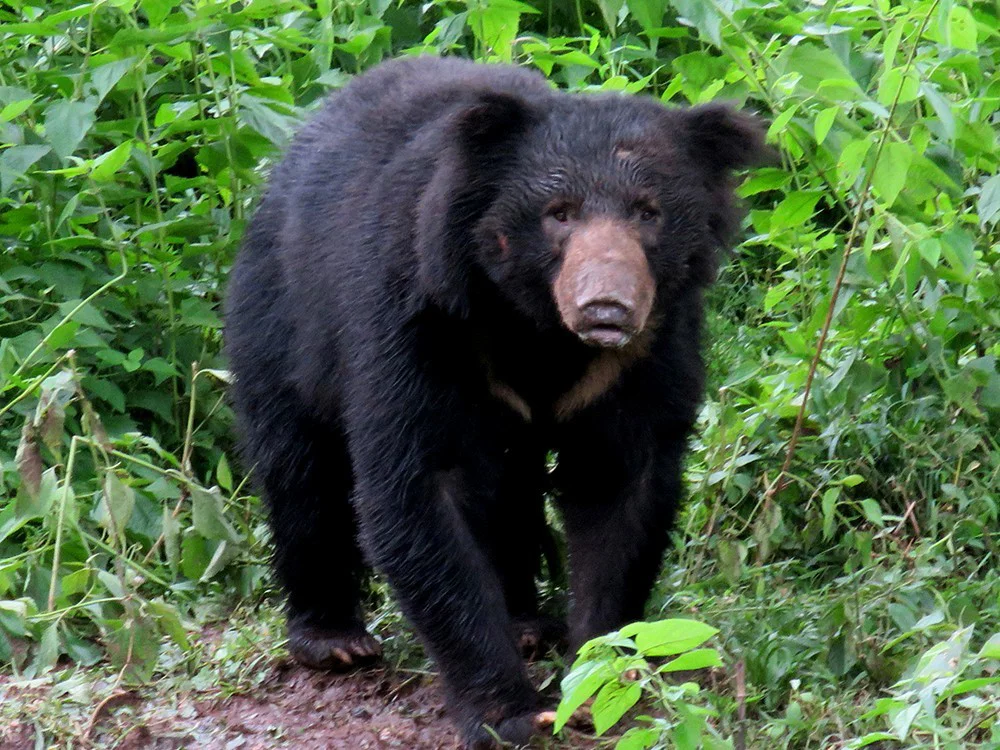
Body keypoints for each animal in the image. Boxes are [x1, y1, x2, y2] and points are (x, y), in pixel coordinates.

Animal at [224, 56, 767, 748]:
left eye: (649, 213)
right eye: (559, 213)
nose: (608, 306)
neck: (537, 330)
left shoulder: (647, 351)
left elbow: (621, 487)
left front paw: (596, 682)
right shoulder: (421, 316)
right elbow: (419, 487)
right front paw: (507, 712)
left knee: (508, 490)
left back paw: (527, 623)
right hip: (281, 317)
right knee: (301, 468)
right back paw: (333, 640)